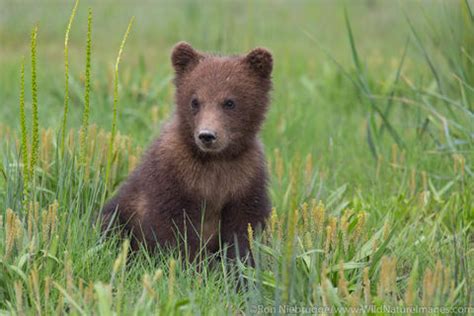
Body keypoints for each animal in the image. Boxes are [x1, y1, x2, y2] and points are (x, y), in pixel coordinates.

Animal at [103, 41, 274, 264]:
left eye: (229, 102)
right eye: (195, 101)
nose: (207, 135)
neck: (215, 159)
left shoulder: (245, 178)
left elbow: (244, 229)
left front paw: (237, 265)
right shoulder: (174, 176)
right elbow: (175, 229)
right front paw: (193, 263)